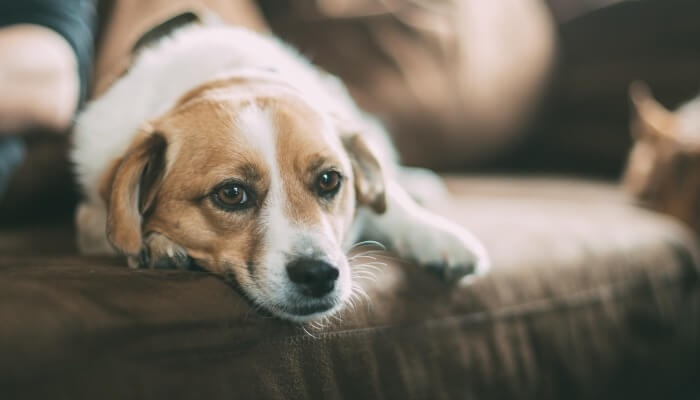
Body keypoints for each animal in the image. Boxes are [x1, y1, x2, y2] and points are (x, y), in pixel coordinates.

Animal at [69, 23, 486, 322]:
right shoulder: (91, 213)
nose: (318, 274)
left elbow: (391, 204)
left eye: (329, 180)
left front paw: (438, 236)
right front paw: (156, 244)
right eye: (231, 193)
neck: (228, 77)